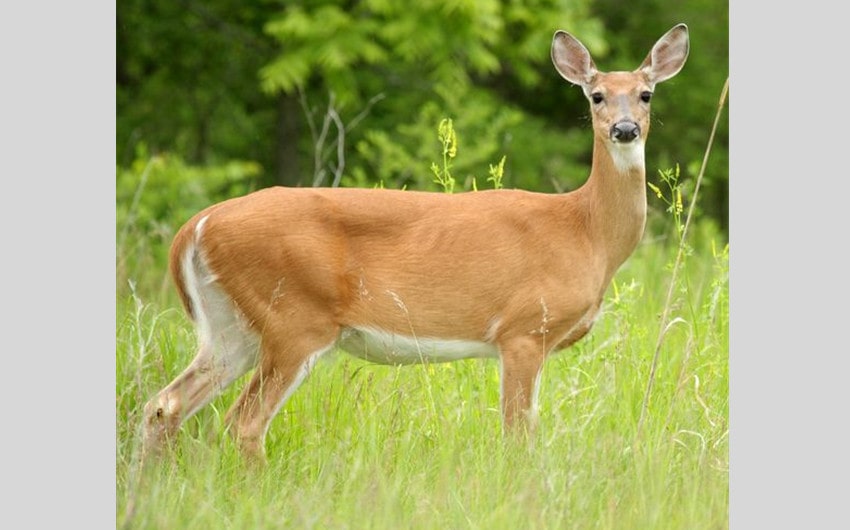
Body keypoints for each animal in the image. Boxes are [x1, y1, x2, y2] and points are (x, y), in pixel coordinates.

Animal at [137, 23, 684, 458]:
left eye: (646, 94)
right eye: (596, 95)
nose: (624, 129)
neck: (583, 229)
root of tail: (197, 225)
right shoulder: (523, 330)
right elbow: (517, 436)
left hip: (232, 326)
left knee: (165, 405)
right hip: (295, 318)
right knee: (243, 423)